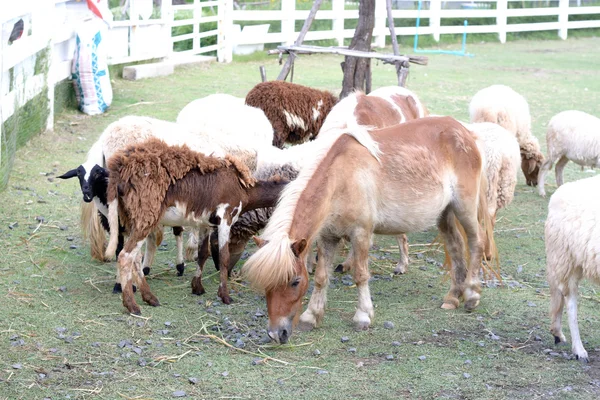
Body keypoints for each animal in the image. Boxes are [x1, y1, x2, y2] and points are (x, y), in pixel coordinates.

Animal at [243, 116, 492, 344]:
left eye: (294, 281)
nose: (277, 334)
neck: (341, 178)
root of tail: (465, 132)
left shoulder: (361, 234)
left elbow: (360, 275)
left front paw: (363, 316)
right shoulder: (327, 237)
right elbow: (322, 277)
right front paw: (311, 316)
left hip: (465, 207)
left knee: (476, 242)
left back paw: (471, 294)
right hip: (445, 213)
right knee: (456, 246)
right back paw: (453, 297)